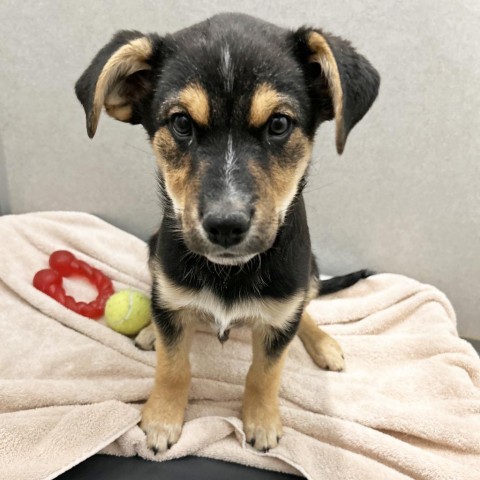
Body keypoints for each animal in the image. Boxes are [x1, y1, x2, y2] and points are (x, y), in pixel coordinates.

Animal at [76, 11, 378, 454]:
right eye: (181, 122)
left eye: (279, 124)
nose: (225, 225)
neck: (229, 272)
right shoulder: (171, 297)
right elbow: (173, 365)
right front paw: (162, 419)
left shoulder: (281, 312)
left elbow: (266, 372)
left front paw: (262, 421)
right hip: (153, 252)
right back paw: (149, 330)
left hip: (306, 270)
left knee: (304, 307)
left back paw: (323, 344)